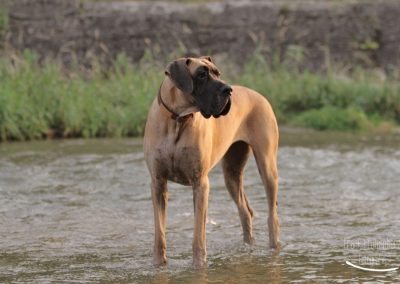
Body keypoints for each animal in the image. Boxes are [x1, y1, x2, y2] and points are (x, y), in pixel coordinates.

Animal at [145, 56, 282, 268]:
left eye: (218, 73)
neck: (178, 120)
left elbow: (198, 233)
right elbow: (159, 232)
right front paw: (159, 264)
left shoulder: (200, 183)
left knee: (272, 216)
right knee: (245, 211)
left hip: (267, 167)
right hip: (231, 173)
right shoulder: (158, 183)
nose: (228, 89)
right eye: (202, 74)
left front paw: (199, 265)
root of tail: (259, 95)